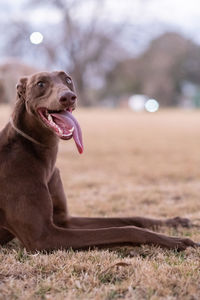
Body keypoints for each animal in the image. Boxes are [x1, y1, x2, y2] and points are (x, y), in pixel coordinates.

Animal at [0, 71, 199, 252]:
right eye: (40, 83)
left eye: (68, 79)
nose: (68, 97)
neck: (37, 152)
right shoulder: (43, 236)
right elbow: (128, 229)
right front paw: (177, 241)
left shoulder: (64, 220)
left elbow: (133, 219)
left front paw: (176, 222)